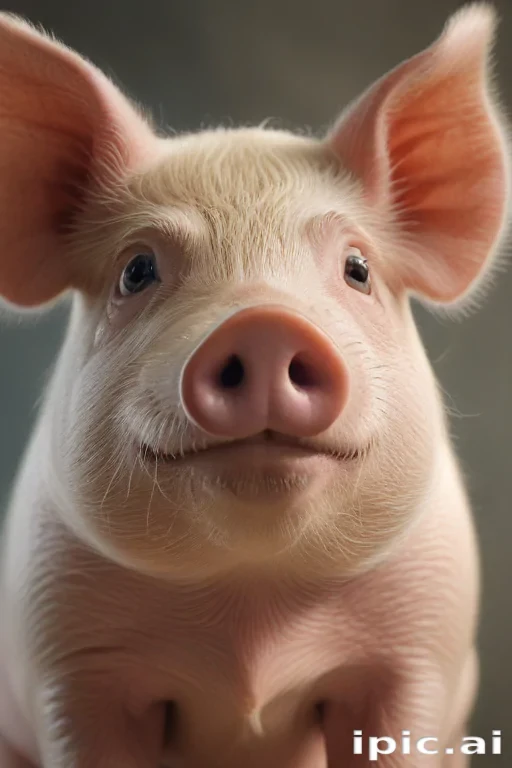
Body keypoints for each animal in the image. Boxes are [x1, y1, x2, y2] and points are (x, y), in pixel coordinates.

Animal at [0, 3, 508, 767]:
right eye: (136, 270)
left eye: (358, 268)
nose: (265, 322)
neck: (251, 610)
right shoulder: (68, 659)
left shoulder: (417, 653)